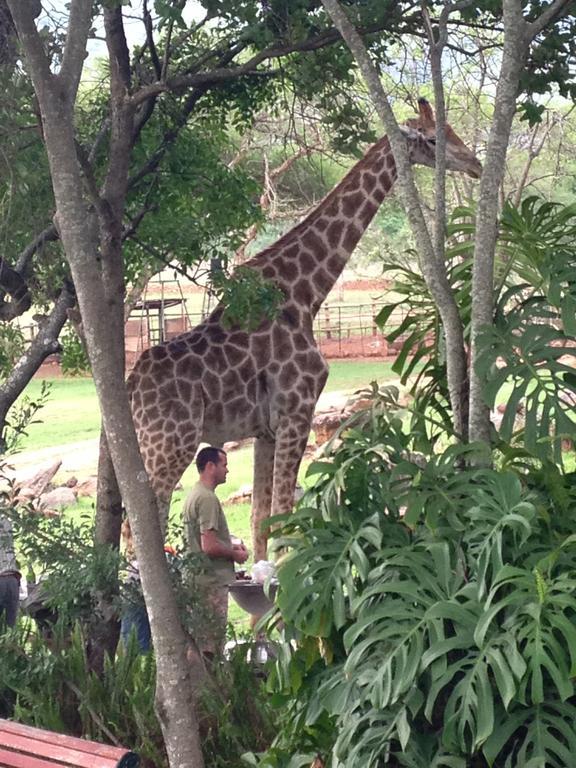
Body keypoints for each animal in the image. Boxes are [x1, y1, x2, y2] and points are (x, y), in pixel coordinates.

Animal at [127, 99, 482, 560]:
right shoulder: (297, 410)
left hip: (144, 444)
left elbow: (262, 520)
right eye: (436, 139)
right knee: (141, 528)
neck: (305, 294)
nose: (475, 164)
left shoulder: (264, 429)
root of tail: (132, 386)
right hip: (170, 444)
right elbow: (283, 519)